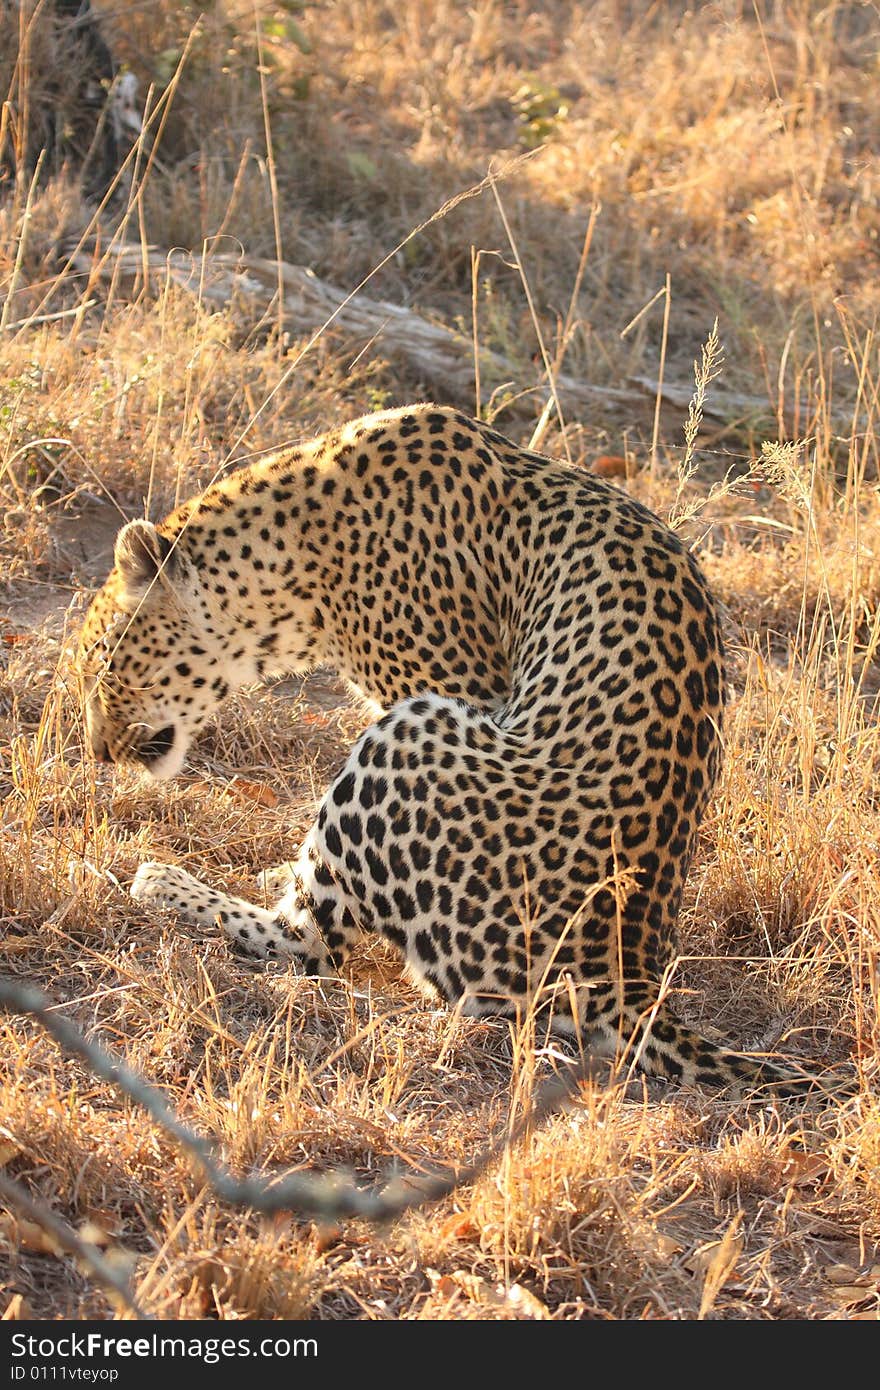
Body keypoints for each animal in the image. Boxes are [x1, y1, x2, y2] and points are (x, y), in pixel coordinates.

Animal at [77, 405, 811, 1089]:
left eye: (102, 666)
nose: (98, 752)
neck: (291, 559)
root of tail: (625, 978)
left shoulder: (464, 688)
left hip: (410, 731)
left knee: (309, 946)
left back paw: (165, 882)